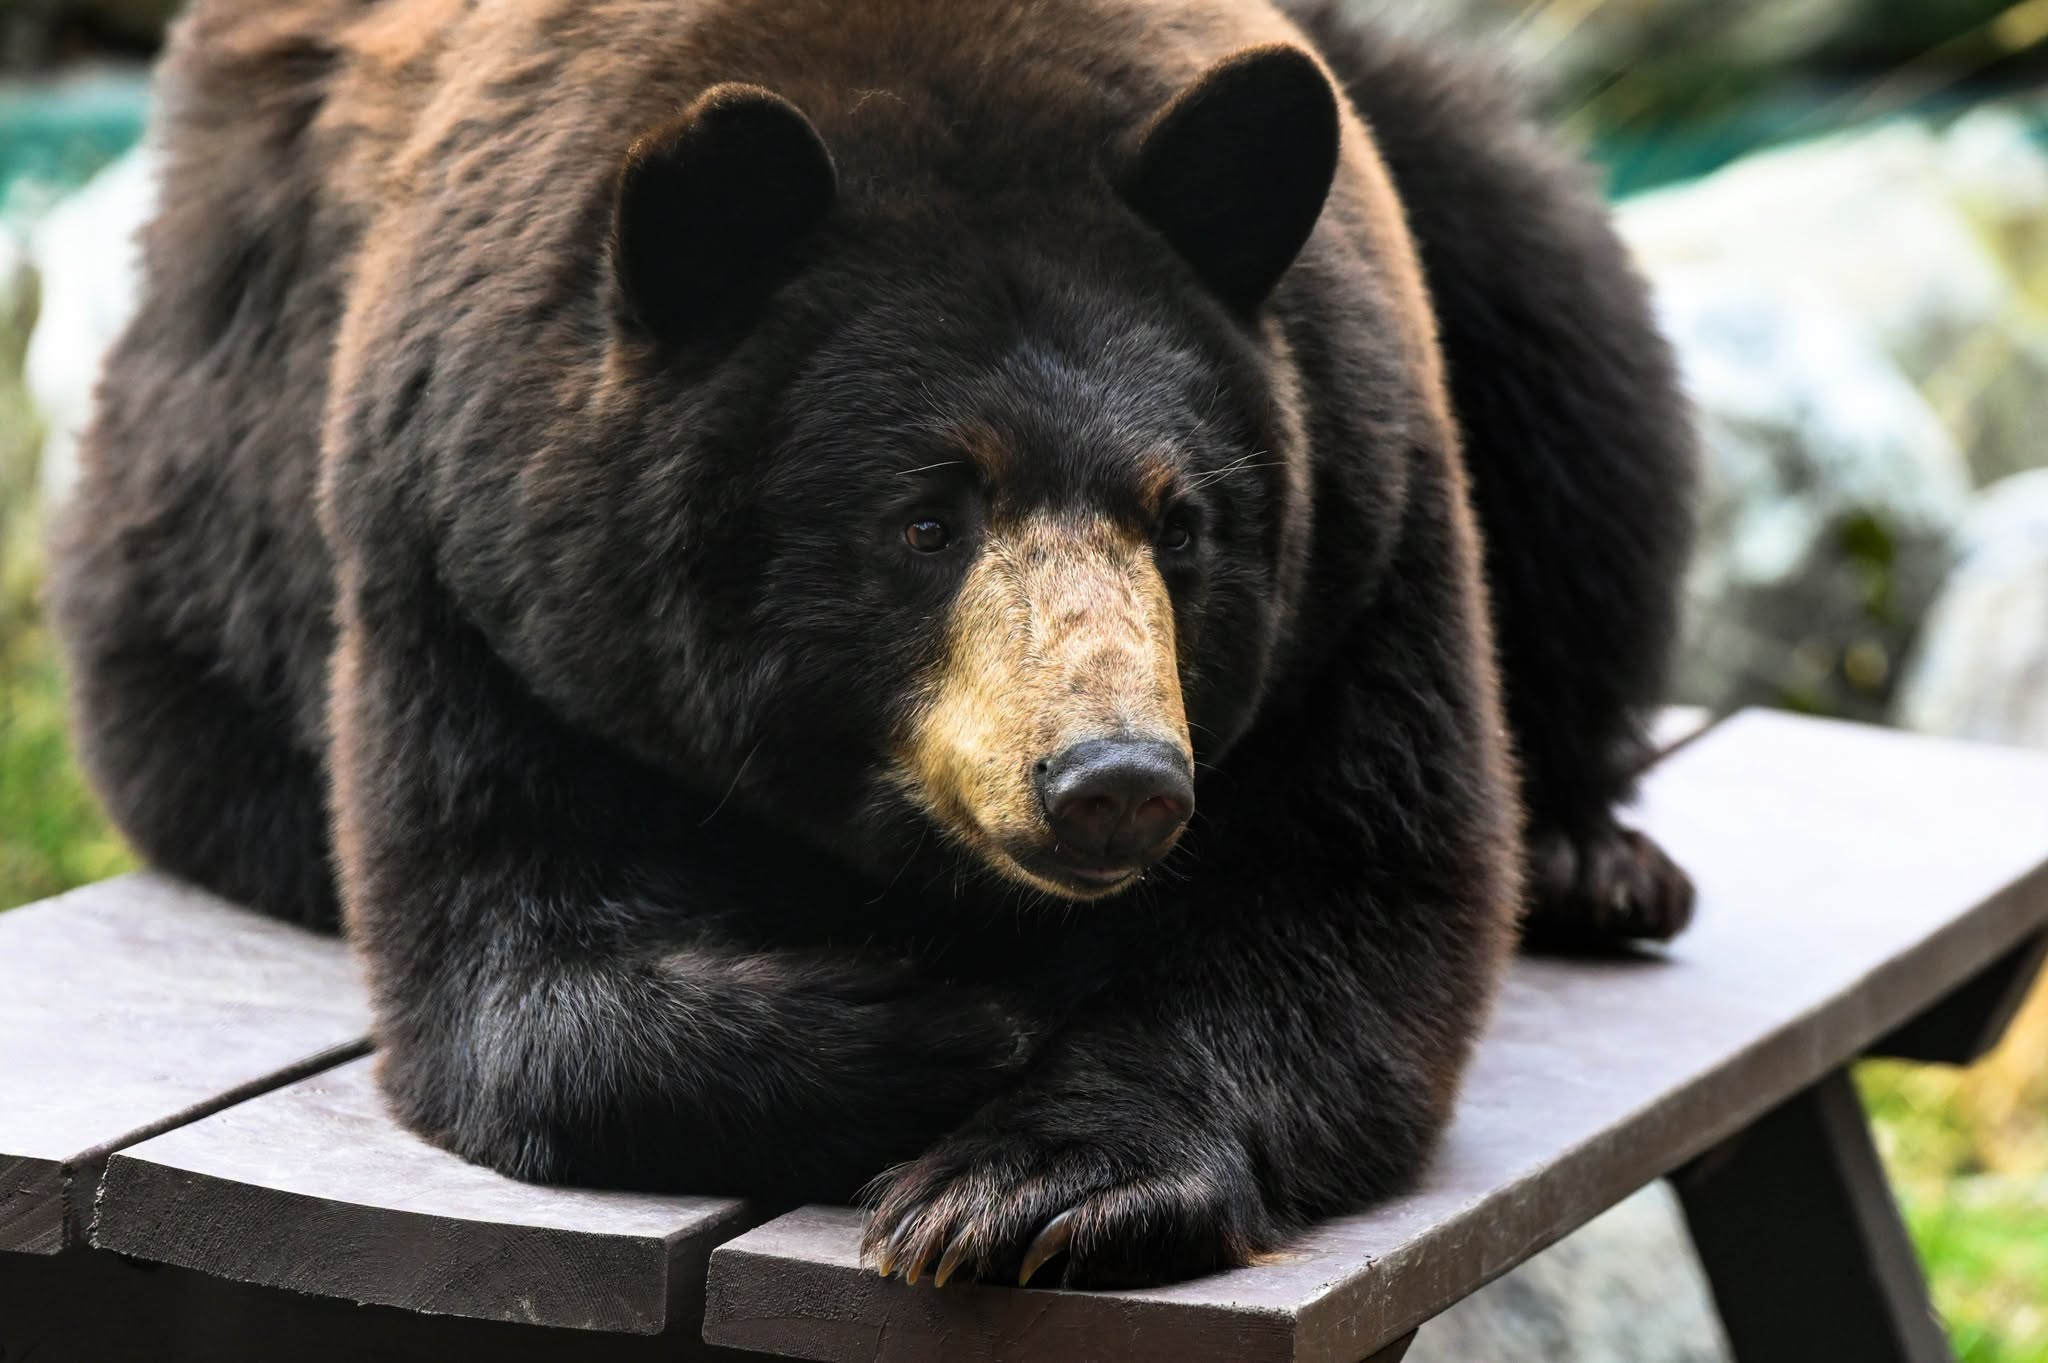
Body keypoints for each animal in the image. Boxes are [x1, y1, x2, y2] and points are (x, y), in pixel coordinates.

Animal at [49, 0, 1697, 1289]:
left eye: (1182, 523)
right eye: (923, 521)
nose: (1111, 782)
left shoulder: (1365, 518)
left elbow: (1347, 891)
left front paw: (1034, 1187)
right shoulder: (462, 552)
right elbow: (509, 940)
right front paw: (949, 1022)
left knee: (1570, 352)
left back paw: (1592, 858)